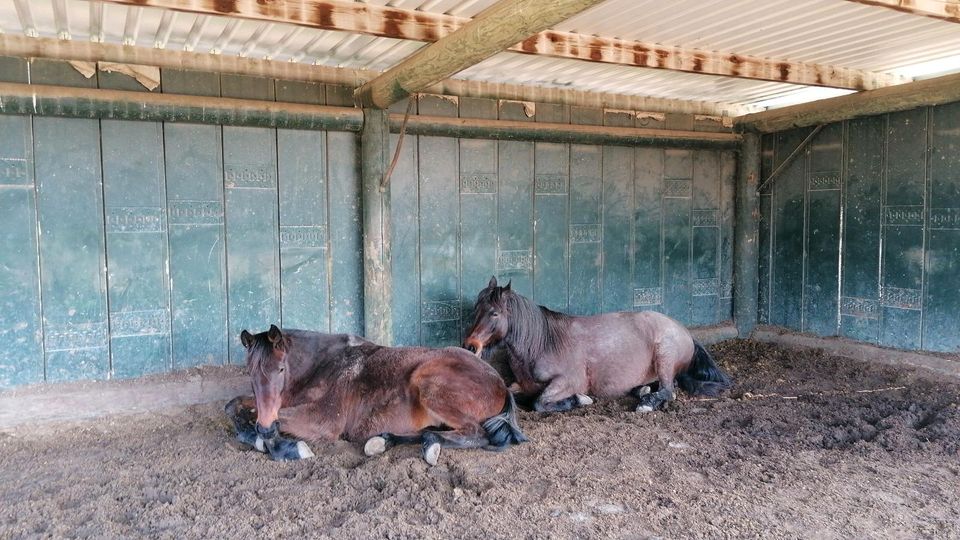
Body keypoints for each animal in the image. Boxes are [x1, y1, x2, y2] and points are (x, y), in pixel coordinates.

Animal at [225, 324, 524, 464]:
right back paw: (382, 441)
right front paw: (256, 436)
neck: (322, 366)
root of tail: (500, 383)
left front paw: (288, 448)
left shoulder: (322, 420)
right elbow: (233, 406)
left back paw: (429, 446)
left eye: (280, 368)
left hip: (429, 385)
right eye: (250, 371)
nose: (266, 427)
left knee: (476, 433)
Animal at [464, 278, 728, 414]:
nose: (470, 346)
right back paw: (641, 390)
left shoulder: (568, 381)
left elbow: (539, 403)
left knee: (669, 390)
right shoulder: (520, 384)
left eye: (494, 313)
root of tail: (685, 332)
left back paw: (646, 403)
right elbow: (513, 394)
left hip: (664, 355)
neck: (543, 343)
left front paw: (580, 400)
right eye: (476, 310)